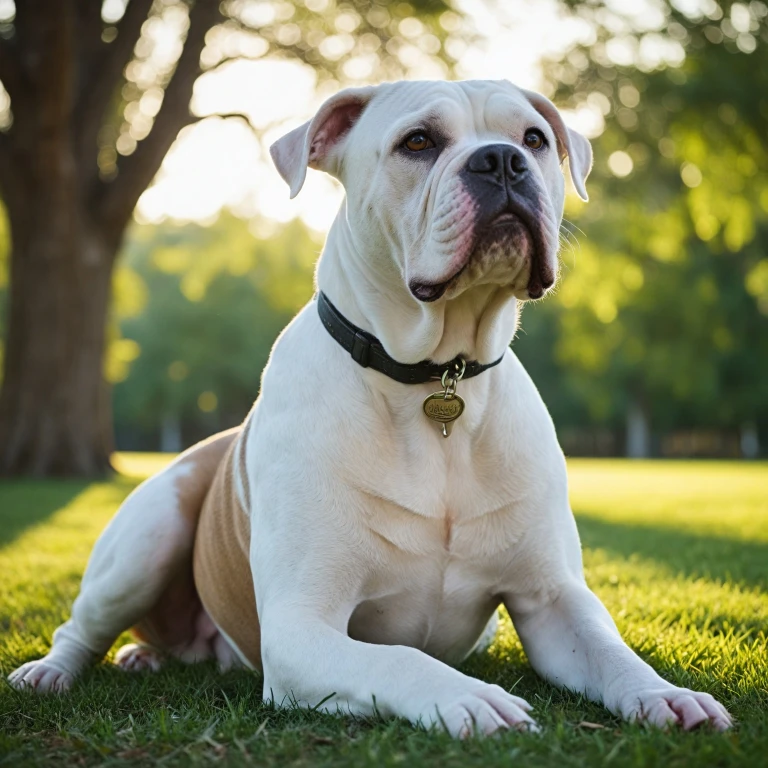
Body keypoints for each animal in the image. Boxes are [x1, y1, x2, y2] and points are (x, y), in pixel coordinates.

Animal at [10, 79, 732, 736]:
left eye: (533, 138)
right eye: (418, 142)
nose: (500, 160)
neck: (436, 379)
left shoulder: (553, 601)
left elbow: (613, 654)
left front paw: (667, 695)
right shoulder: (302, 628)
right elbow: (399, 661)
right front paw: (470, 698)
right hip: (147, 533)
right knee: (81, 626)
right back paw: (50, 672)